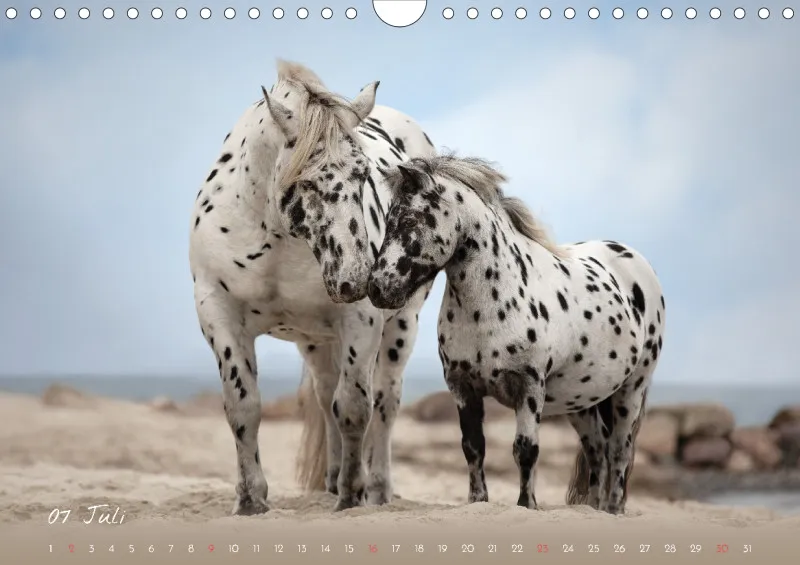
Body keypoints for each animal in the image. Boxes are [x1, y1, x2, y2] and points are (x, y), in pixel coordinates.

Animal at [188, 60, 437, 514]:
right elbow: (243, 407)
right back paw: (332, 481)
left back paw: (376, 490)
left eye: (364, 175)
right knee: (325, 397)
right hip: (316, 341)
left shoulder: (361, 320)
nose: (356, 279)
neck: (275, 238)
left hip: (400, 327)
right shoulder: (218, 313)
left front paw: (353, 496)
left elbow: (355, 408)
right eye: (305, 180)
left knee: (385, 403)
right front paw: (250, 499)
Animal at [366, 154, 665, 515]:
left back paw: (613, 510)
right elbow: (473, 447)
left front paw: (526, 504)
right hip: (582, 402)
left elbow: (525, 449)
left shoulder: (529, 386)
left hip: (631, 390)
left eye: (410, 220)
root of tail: (636, 262)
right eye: (388, 220)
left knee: (620, 452)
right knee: (597, 453)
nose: (377, 288)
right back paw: (592, 509)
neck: (489, 305)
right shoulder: (462, 386)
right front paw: (477, 500)